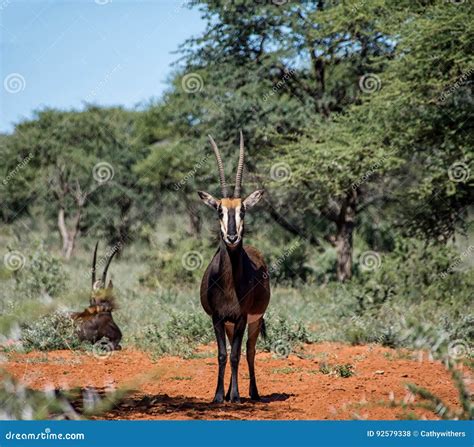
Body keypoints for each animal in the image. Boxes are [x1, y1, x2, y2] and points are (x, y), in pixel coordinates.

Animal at [197, 131, 270, 404]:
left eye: (243, 210)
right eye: (219, 210)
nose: (231, 237)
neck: (228, 283)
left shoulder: (241, 318)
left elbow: (237, 355)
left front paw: (236, 396)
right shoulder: (218, 318)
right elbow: (222, 355)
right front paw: (219, 396)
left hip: (254, 321)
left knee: (249, 352)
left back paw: (253, 393)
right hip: (230, 324)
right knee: (232, 352)